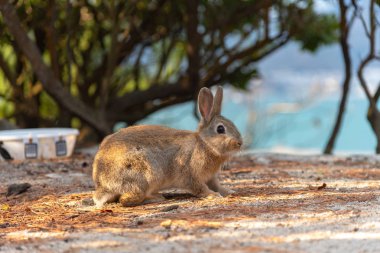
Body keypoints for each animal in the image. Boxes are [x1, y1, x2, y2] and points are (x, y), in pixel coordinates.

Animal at [92, 86, 242, 209]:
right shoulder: (191, 174)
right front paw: (212, 195)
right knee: (126, 200)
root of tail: (103, 183)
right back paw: (155, 198)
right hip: (146, 173)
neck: (205, 144)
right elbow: (199, 188)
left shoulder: (210, 177)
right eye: (220, 129)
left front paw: (229, 192)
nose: (240, 143)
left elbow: (216, 185)